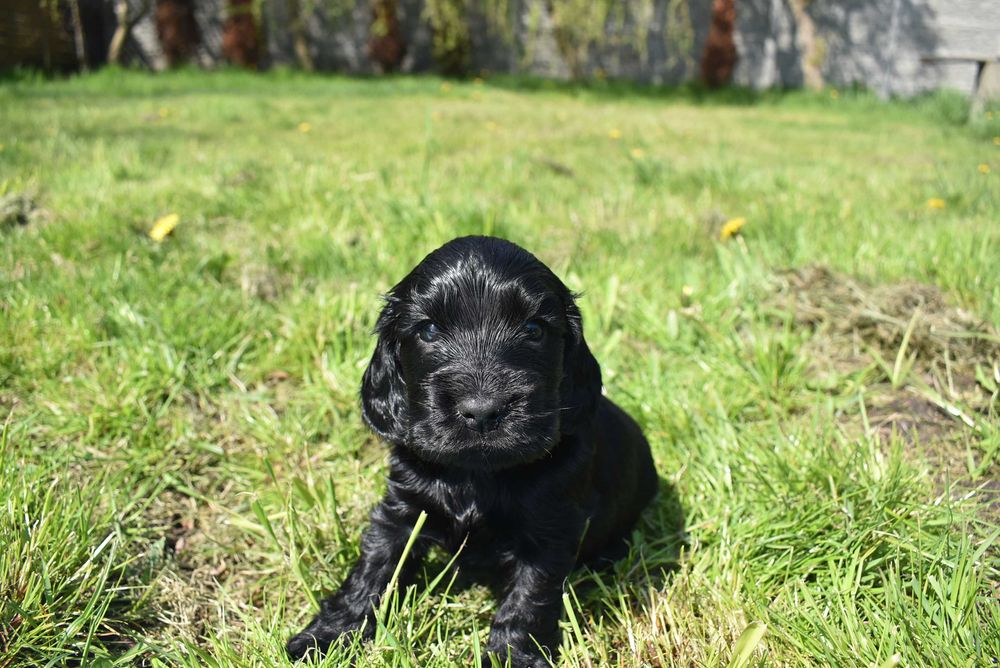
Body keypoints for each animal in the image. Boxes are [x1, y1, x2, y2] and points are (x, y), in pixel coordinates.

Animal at [286, 235, 660, 664]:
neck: (477, 473)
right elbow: (374, 568)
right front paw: (326, 636)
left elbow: (528, 597)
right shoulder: (403, 509)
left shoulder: (550, 527)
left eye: (534, 329)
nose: (482, 411)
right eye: (430, 330)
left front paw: (512, 657)